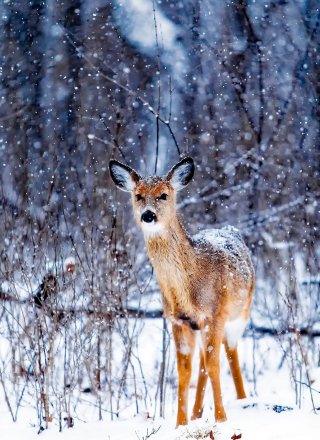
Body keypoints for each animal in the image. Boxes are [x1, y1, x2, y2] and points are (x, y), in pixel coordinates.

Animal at [110, 156, 255, 424]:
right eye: (138, 195)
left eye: (164, 195)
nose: (148, 215)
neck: (188, 288)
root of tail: (231, 229)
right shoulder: (179, 320)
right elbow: (184, 371)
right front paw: (180, 424)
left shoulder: (215, 314)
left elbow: (214, 365)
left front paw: (221, 419)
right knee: (203, 362)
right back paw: (197, 413)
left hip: (240, 313)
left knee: (230, 353)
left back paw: (242, 399)